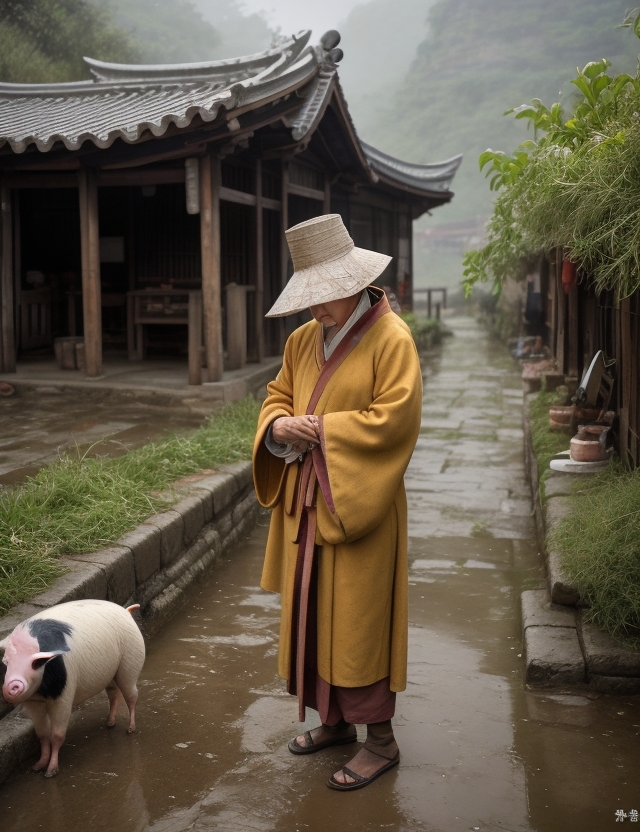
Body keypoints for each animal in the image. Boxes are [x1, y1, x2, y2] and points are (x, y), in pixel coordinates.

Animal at [0, 600, 145, 776]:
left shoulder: (65, 694)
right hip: (111, 672)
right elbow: (42, 735)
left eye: (35, 663)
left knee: (131, 695)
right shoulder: (33, 701)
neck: (43, 691)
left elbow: (57, 735)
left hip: (131, 659)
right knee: (113, 692)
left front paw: (50, 772)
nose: (13, 683)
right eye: (6, 661)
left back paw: (130, 729)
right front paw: (36, 767)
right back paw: (109, 723)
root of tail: (126, 611)